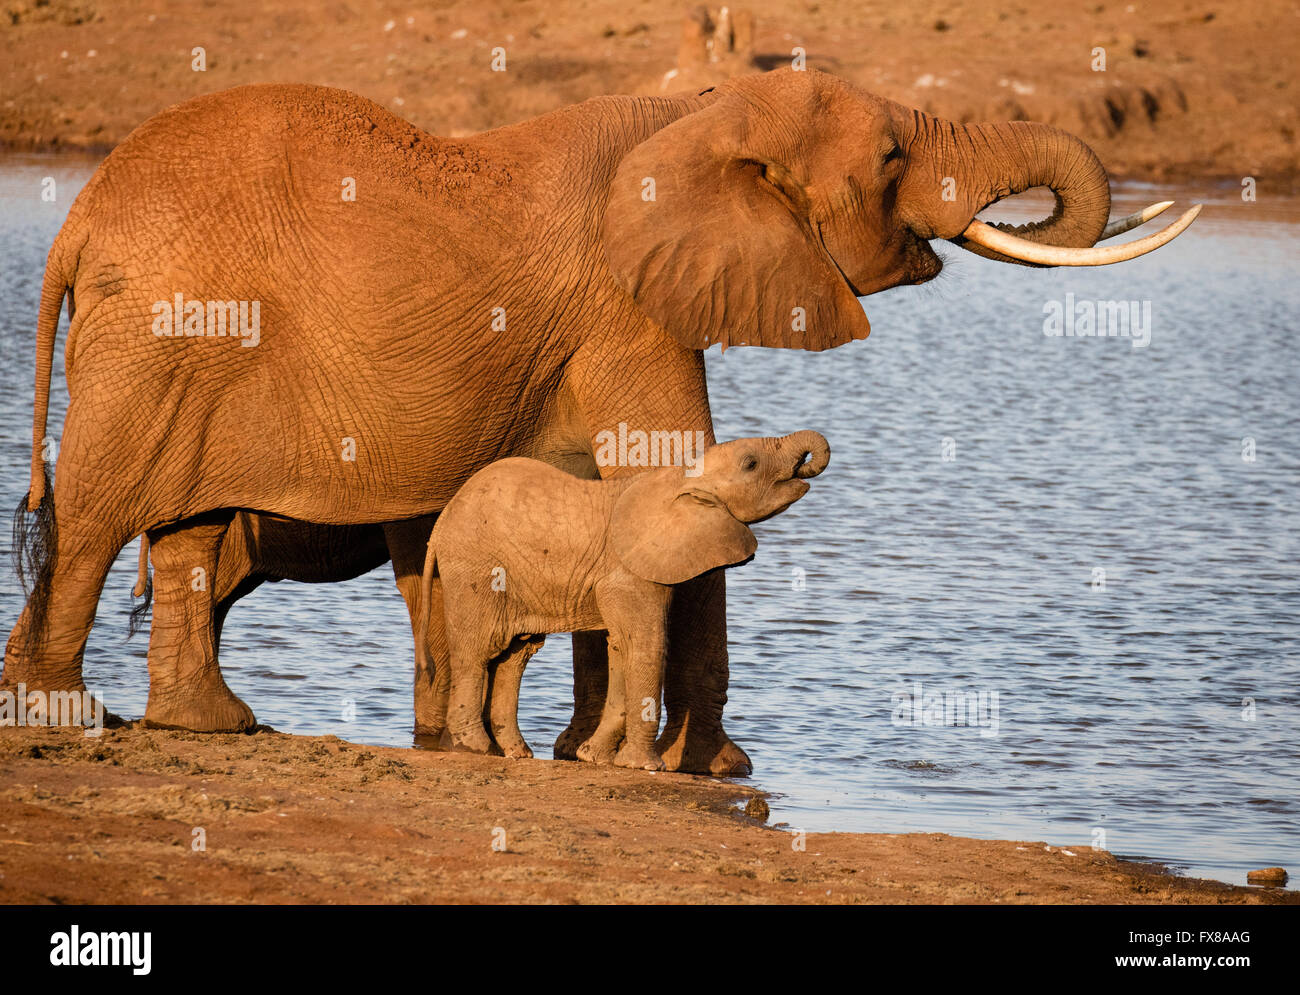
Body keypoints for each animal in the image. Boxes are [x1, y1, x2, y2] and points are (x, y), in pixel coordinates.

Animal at [413, 426, 832, 769]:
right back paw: (474, 748)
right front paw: (647, 766)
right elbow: (647, 644)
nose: (808, 462)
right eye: (751, 464)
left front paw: (594, 758)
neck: (678, 476)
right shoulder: (630, 572)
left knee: (517, 653)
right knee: (477, 650)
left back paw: (515, 753)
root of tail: (440, 523)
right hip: (476, 570)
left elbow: (621, 646)